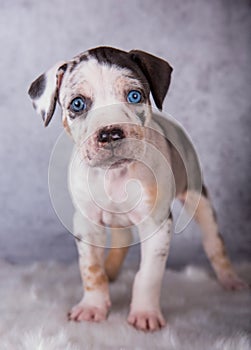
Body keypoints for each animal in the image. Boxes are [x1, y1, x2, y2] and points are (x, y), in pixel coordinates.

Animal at [28, 45, 248, 330]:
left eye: (134, 96)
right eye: (77, 103)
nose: (110, 134)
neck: (114, 175)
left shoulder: (158, 225)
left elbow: (148, 274)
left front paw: (145, 314)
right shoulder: (87, 224)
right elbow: (91, 269)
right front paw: (93, 306)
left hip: (199, 198)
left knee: (214, 241)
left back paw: (230, 279)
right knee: (121, 240)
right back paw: (111, 272)